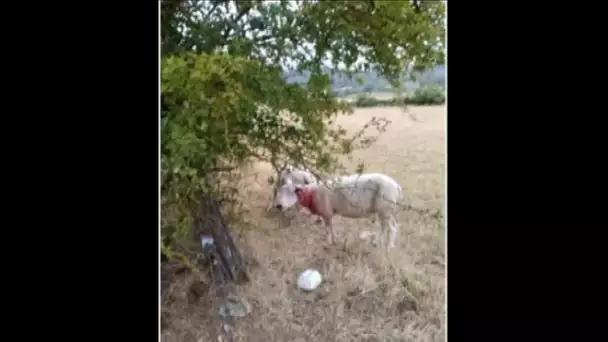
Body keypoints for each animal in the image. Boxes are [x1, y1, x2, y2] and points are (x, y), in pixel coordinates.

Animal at [274, 174, 402, 248]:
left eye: (293, 191)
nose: (278, 206)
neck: (312, 194)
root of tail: (397, 187)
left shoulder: (326, 213)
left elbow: (327, 229)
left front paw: (328, 242)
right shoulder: (328, 214)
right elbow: (331, 227)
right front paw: (335, 240)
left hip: (385, 209)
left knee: (392, 228)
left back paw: (389, 246)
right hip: (384, 211)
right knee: (386, 227)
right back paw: (376, 242)